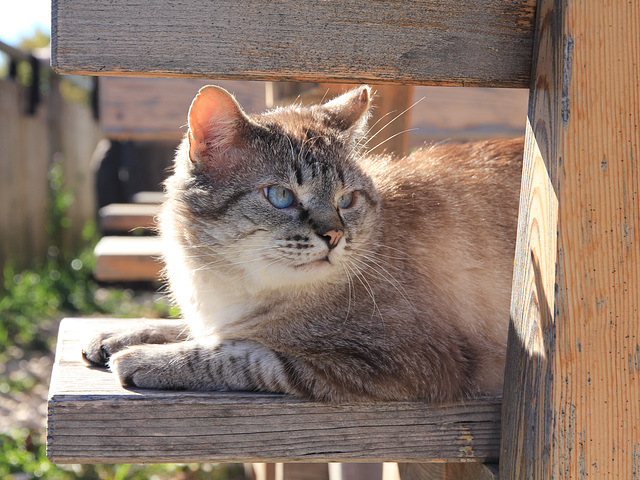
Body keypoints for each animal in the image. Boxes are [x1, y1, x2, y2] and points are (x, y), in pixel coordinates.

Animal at [82, 85, 524, 402]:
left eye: (346, 200)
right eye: (281, 196)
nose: (334, 236)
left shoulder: (402, 364)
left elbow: (239, 353)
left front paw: (141, 358)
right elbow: (190, 329)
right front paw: (116, 337)